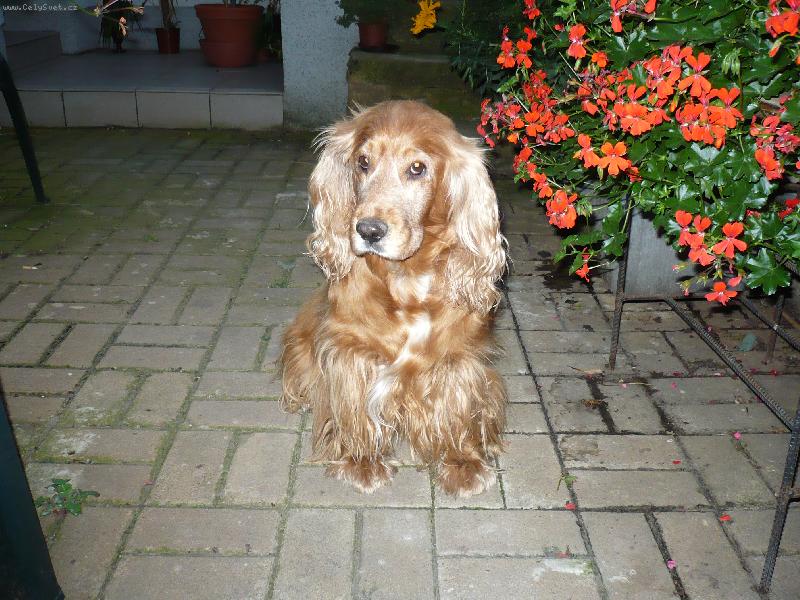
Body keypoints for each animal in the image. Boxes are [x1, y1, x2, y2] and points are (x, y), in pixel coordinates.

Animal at [280, 101, 507, 497]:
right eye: (363, 162)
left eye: (417, 168)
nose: (368, 230)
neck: (407, 281)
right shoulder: (352, 350)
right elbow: (356, 408)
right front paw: (362, 461)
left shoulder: (458, 358)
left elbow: (458, 408)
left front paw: (461, 462)